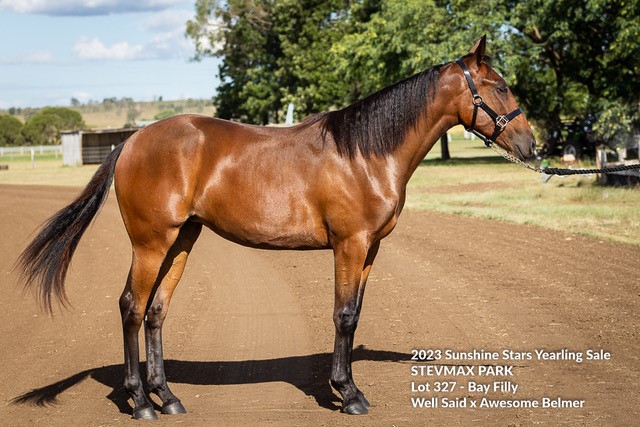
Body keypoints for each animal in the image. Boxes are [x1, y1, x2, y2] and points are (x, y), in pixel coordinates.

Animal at [17, 36, 535, 419]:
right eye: (499, 87)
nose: (532, 145)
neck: (365, 154)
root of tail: (131, 141)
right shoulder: (349, 245)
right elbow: (343, 316)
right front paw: (347, 394)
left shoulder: (369, 250)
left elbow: (356, 312)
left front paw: (346, 388)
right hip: (150, 242)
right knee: (131, 306)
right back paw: (141, 402)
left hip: (182, 239)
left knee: (156, 310)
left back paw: (168, 398)